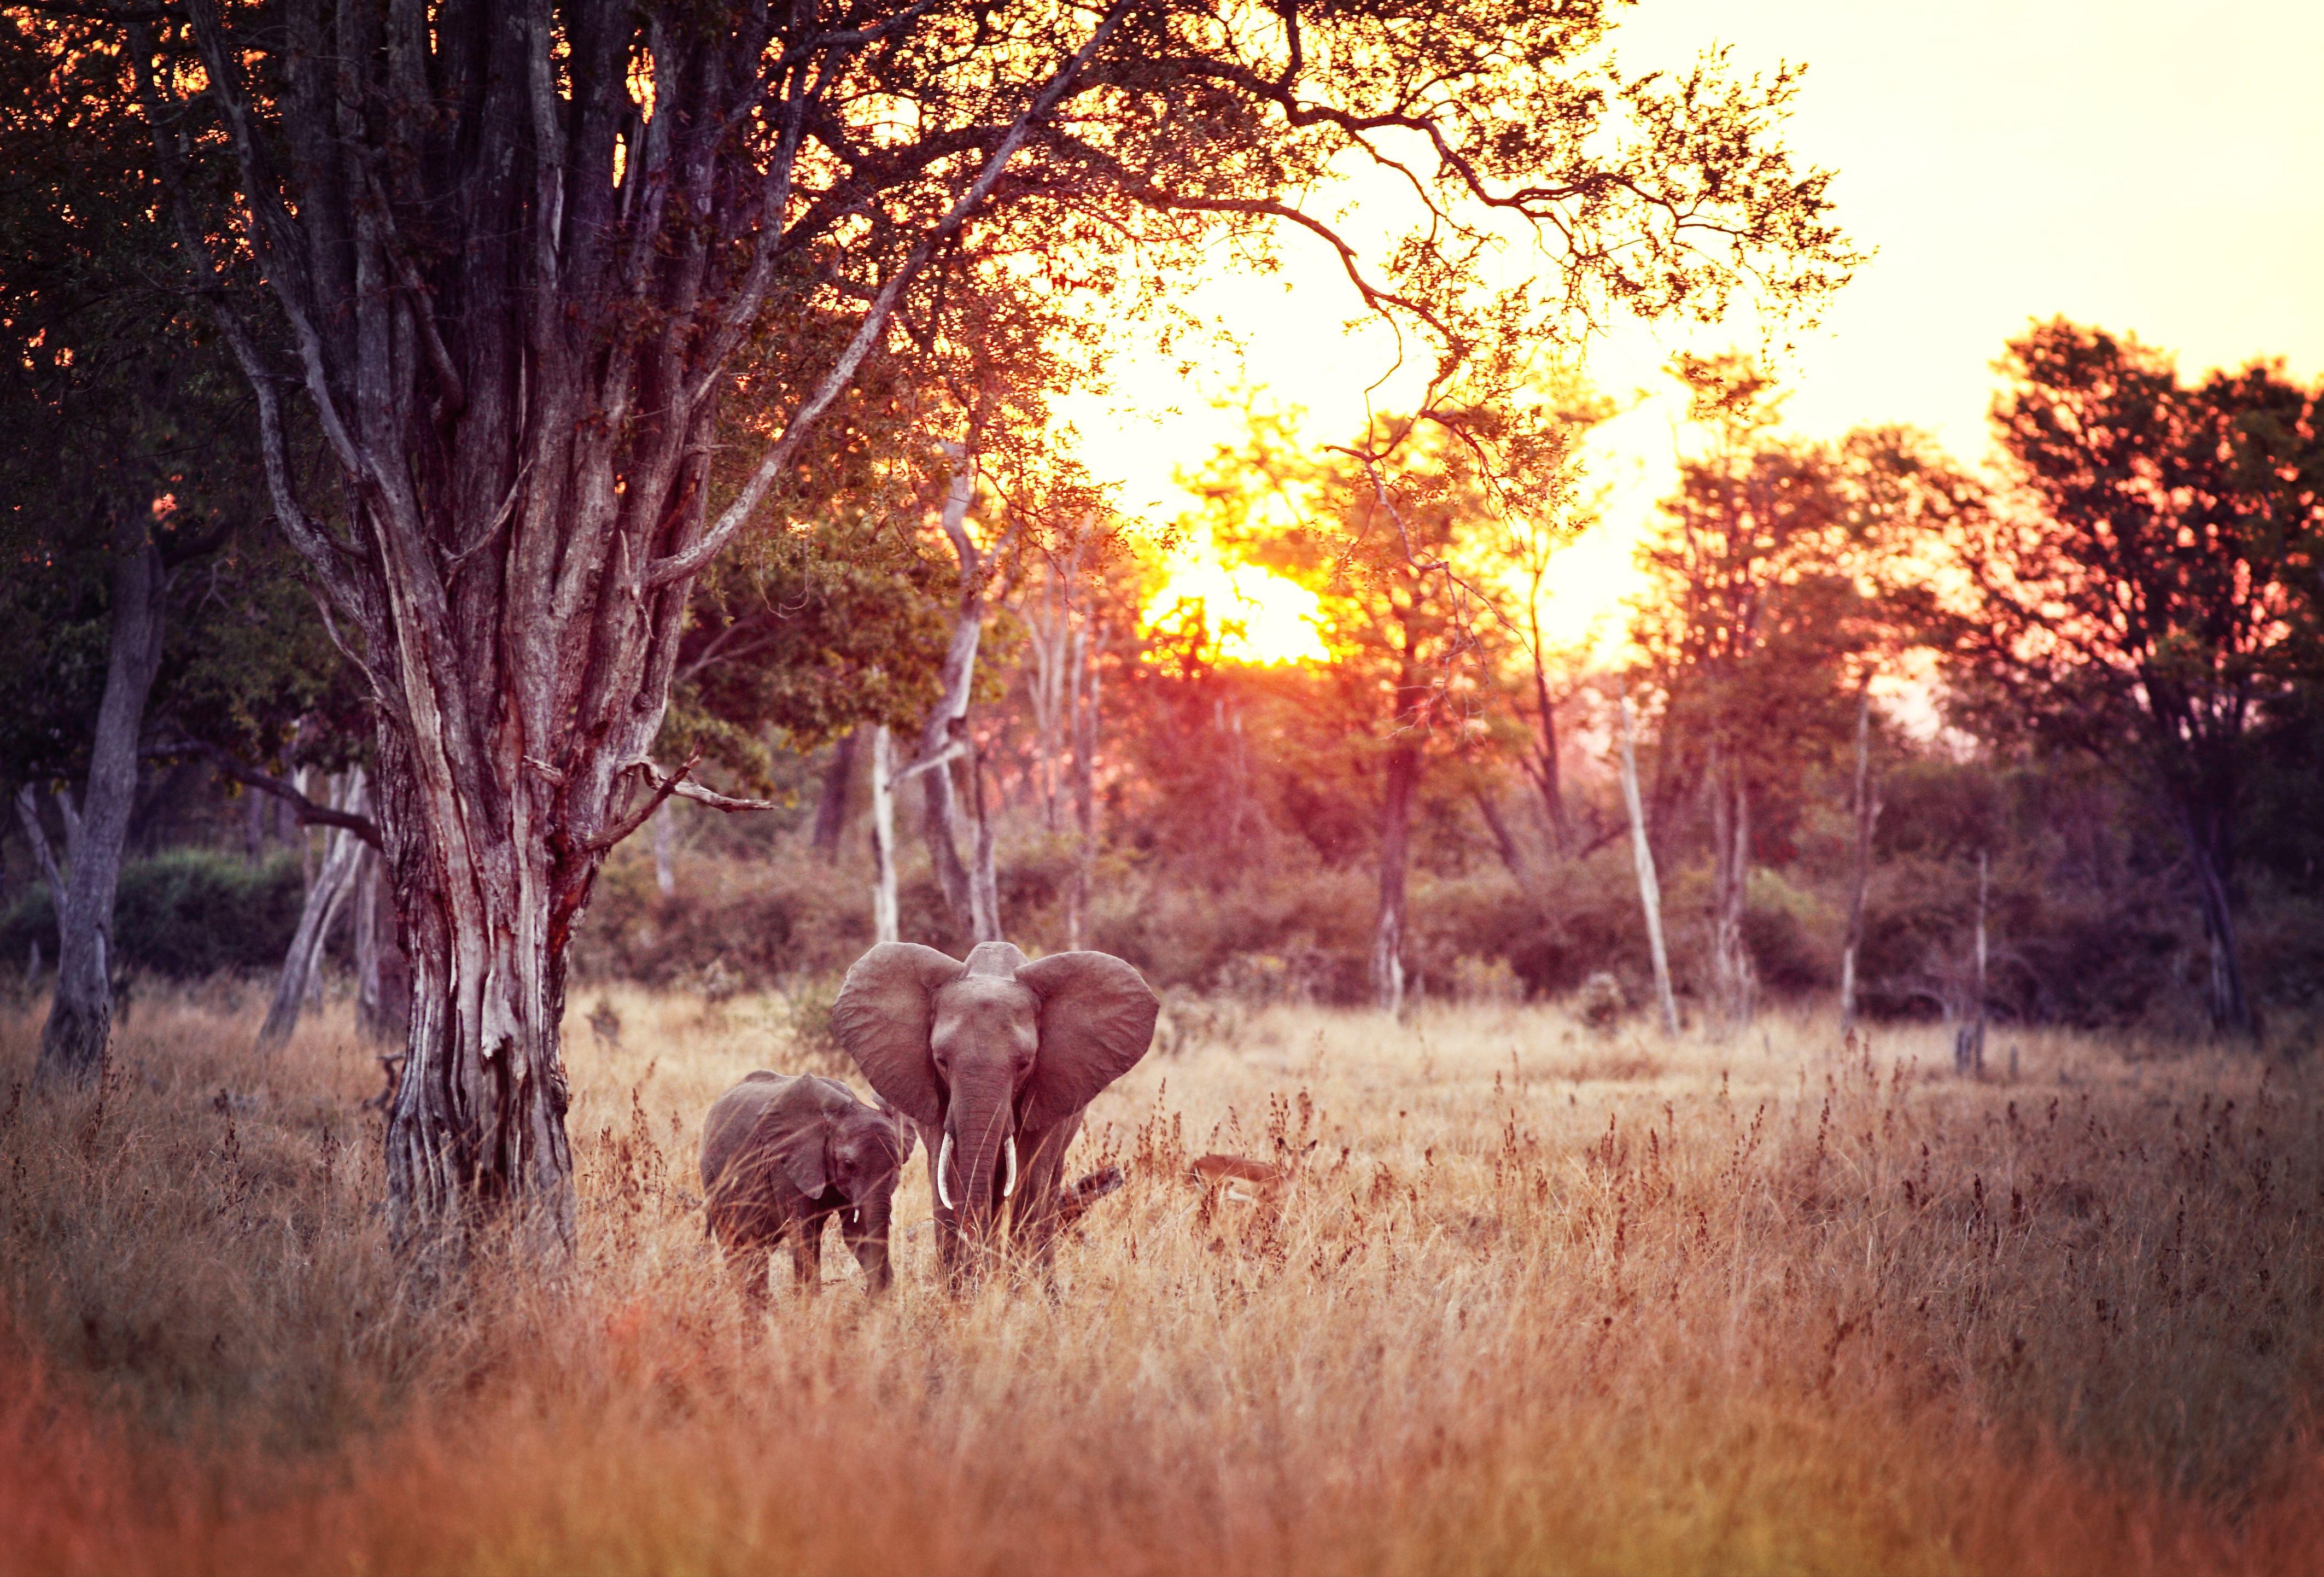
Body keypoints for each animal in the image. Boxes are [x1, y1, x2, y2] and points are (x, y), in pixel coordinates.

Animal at [697, 1073, 915, 1310]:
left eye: (897, 1167)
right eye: (849, 1165)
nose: (866, 1298)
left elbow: (856, 1233)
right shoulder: (787, 1164)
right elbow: (804, 1233)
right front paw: (809, 1307)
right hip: (713, 1177)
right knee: (735, 1243)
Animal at [837, 943, 1162, 1272]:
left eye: (1025, 1064)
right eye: (941, 1060)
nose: (975, 1265)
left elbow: (1032, 1176)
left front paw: (1021, 1284)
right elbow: (946, 1174)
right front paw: (963, 1282)